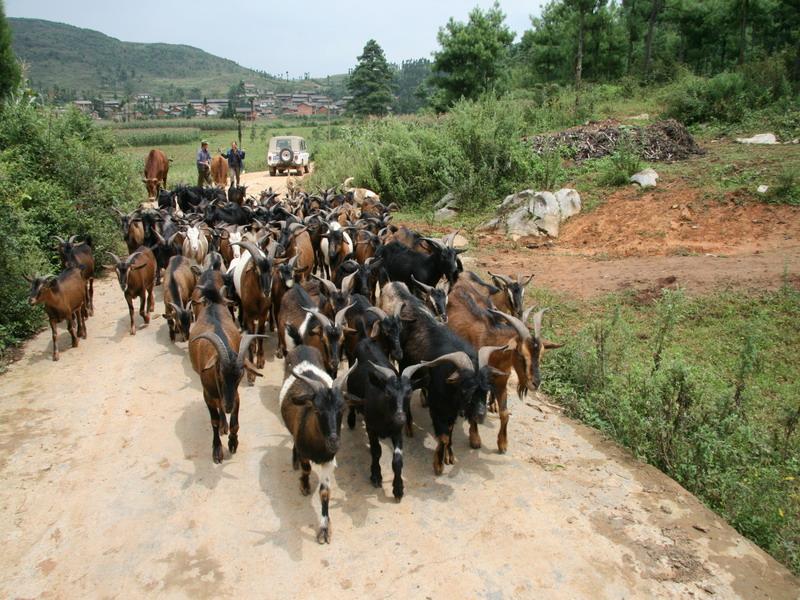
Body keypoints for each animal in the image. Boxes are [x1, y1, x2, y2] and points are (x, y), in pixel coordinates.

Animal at [280, 342, 358, 544]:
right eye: (316, 410)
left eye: (342, 409)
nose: (334, 442)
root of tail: (302, 345)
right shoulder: (304, 450)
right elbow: (306, 468)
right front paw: (304, 485)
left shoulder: (329, 460)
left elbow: (324, 492)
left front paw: (324, 529)